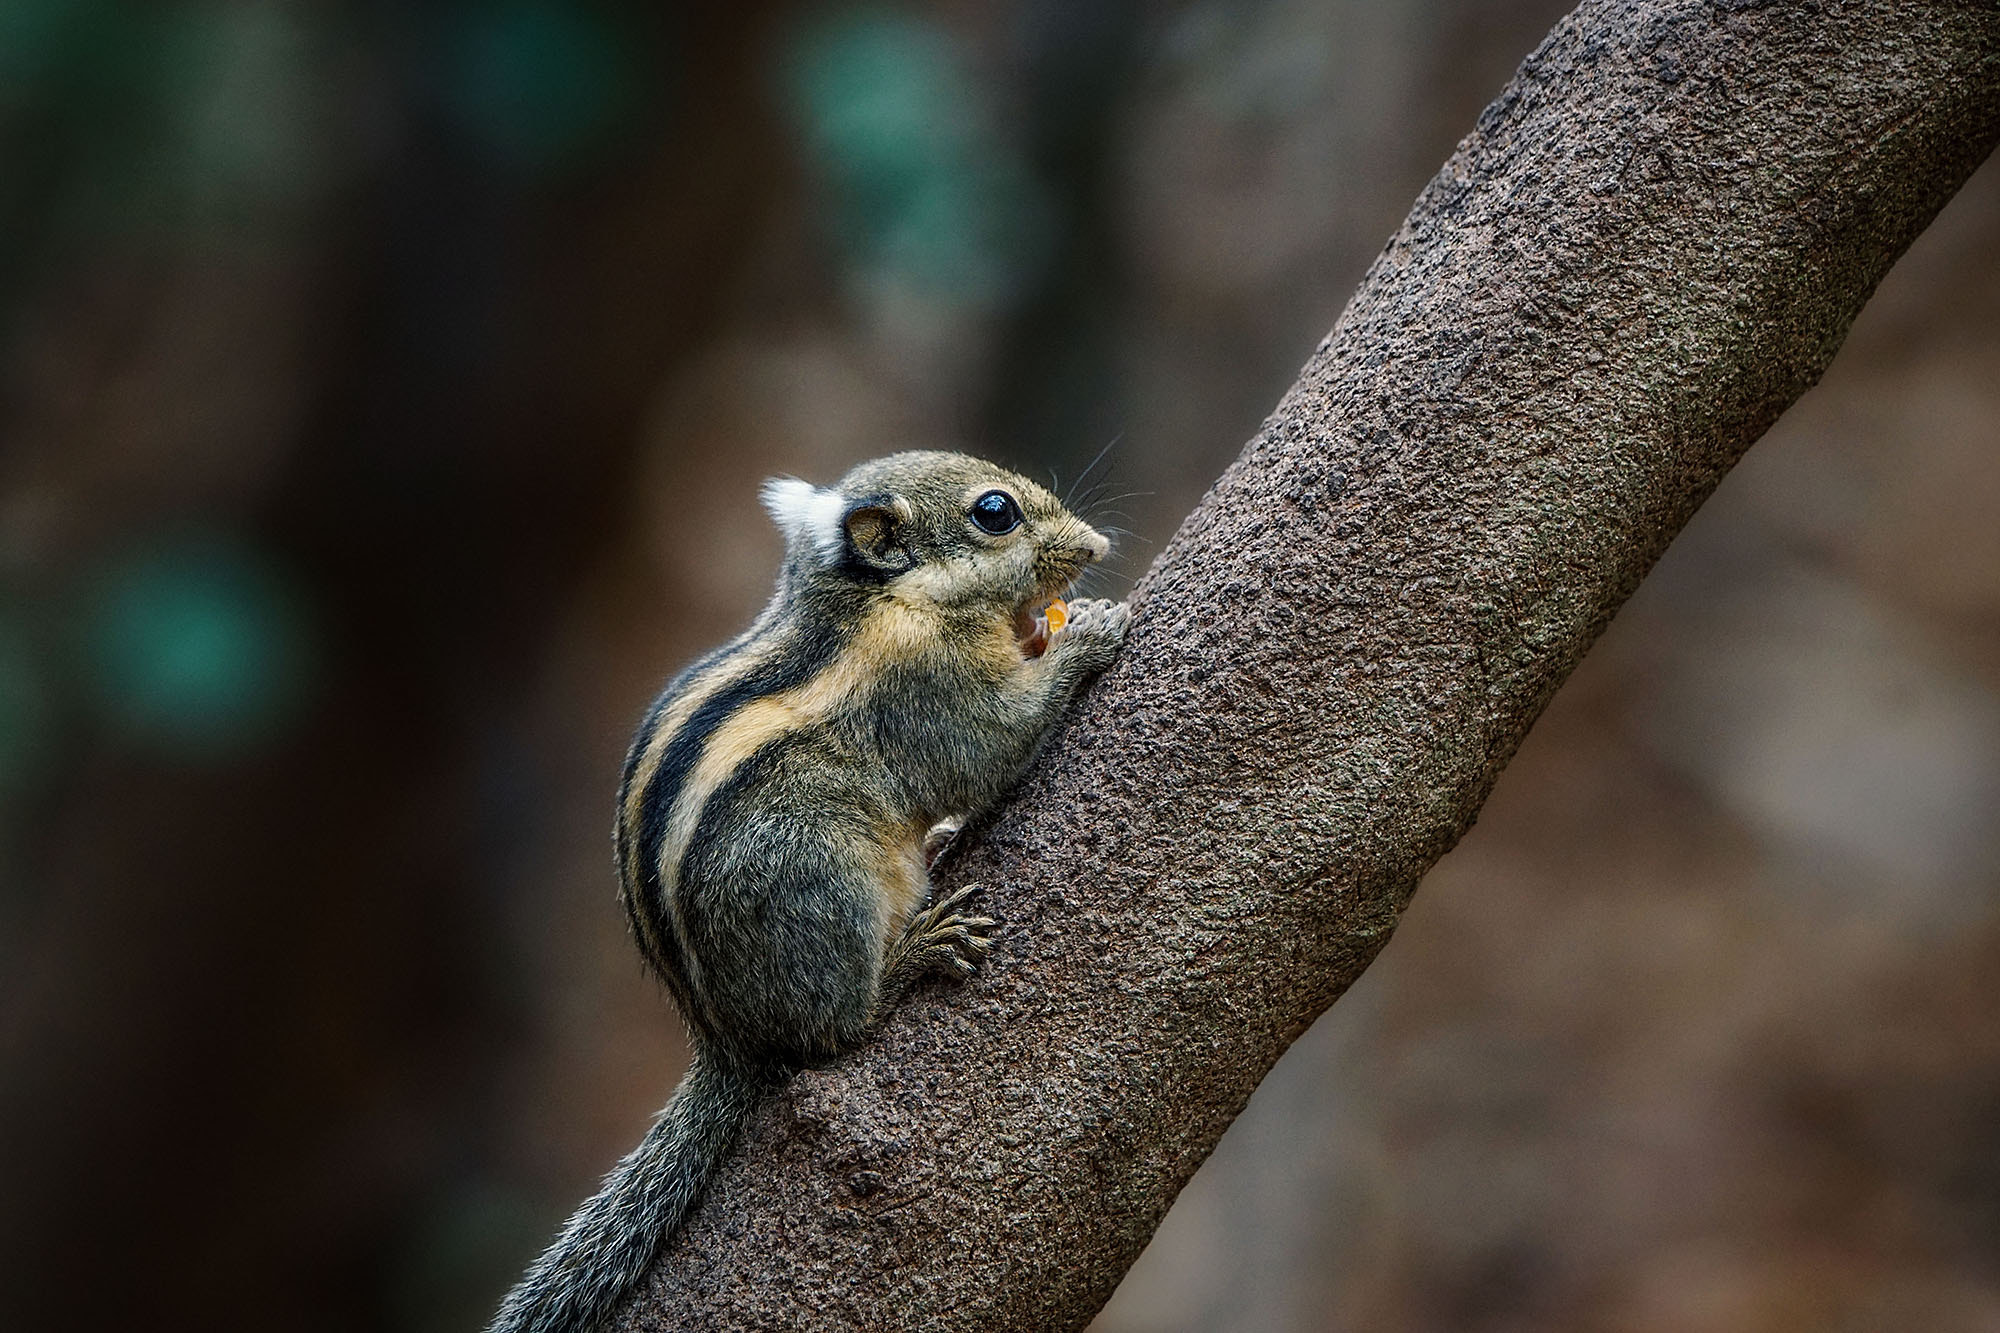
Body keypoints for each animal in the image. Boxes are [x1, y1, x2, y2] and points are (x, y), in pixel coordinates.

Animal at [488, 448, 1128, 1328]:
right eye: (994, 512)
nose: (1097, 546)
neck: (876, 604)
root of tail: (723, 1032)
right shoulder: (929, 695)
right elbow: (992, 743)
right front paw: (1085, 633)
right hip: (822, 886)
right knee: (834, 1031)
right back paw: (915, 952)